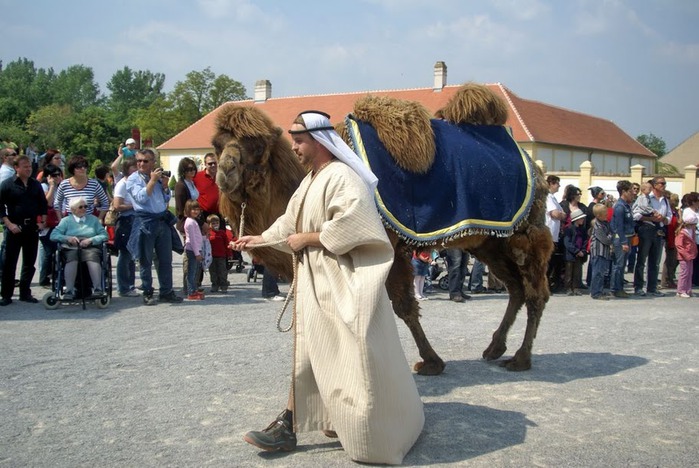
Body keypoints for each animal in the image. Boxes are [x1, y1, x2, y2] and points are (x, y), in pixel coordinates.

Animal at [213, 83, 552, 376]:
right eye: (217, 146)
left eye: (256, 145)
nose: (225, 171)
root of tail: (536, 169)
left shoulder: (386, 246)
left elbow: (401, 306)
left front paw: (430, 363)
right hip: (488, 242)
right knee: (516, 287)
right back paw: (495, 348)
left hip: (526, 233)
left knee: (536, 291)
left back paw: (520, 358)